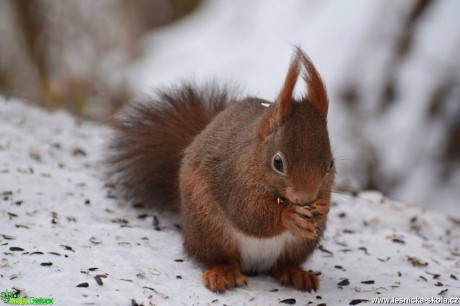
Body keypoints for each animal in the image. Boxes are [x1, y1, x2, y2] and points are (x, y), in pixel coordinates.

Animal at [109, 47, 336, 292]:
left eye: (331, 164)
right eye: (278, 162)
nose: (306, 198)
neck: (253, 154)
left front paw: (322, 207)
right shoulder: (234, 179)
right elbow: (248, 213)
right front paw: (289, 214)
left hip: (299, 244)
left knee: (282, 264)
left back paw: (295, 272)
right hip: (208, 226)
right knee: (220, 257)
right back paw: (223, 273)